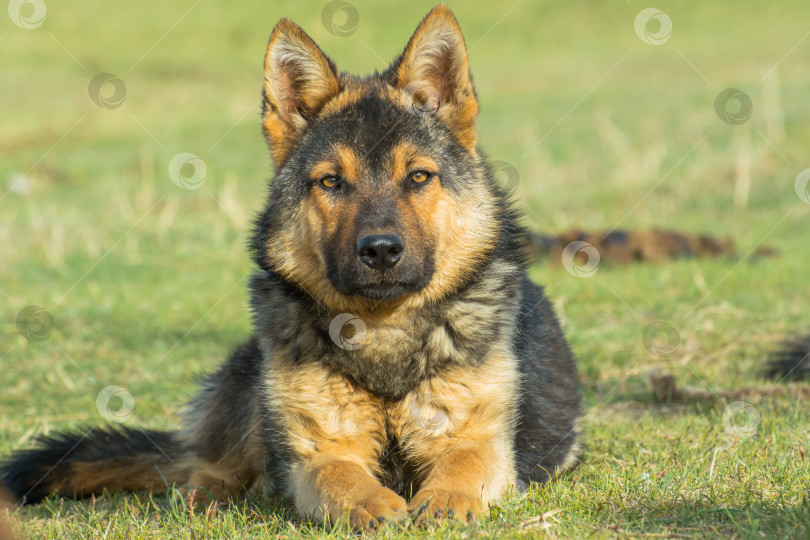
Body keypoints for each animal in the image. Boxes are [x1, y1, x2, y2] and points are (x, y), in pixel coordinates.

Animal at [0, 5, 580, 532]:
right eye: (331, 182)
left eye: (418, 177)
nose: (380, 250)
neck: (384, 330)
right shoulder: (316, 453)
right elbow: (339, 477)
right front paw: (375, 506)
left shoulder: (481, 443)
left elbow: (462, 467)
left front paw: (442, 503)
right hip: (251, 392)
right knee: (203, 466)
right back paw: (205, 498)